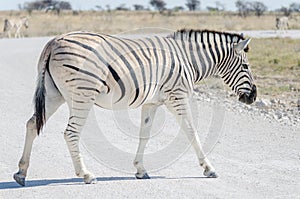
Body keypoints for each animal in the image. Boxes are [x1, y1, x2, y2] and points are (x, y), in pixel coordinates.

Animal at [14, 28, 256, 186]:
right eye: (245, 66)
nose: (253, 97)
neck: (187, 59)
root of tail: (54, 41)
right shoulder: (176, 96)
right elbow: (191, 131)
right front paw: (208, 168)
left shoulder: (151, 102)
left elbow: (144, 135)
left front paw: (140, 170)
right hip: (82, 95)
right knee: (70, 132)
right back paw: (86, 174)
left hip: (54, 94)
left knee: (32, 124)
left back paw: (21, 173)